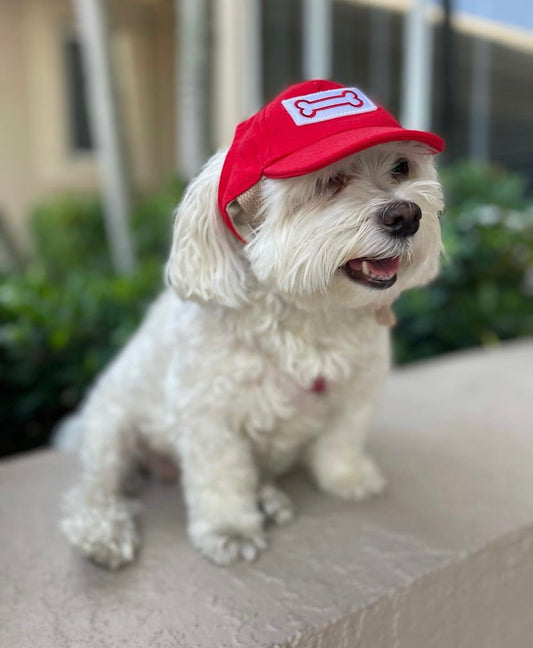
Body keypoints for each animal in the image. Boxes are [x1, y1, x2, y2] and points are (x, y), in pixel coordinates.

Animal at [61, 81, 444, 568]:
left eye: (401, 167)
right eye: (329, 182)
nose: (407, 215)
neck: (309, 311)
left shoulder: (358, 389)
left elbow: (341, 438)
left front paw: (347, 477)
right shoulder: (209, 415)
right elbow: (221, 476)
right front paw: (230, 527)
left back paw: (270, 498)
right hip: (111, 429)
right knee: (93, 488)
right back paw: (101, 530)